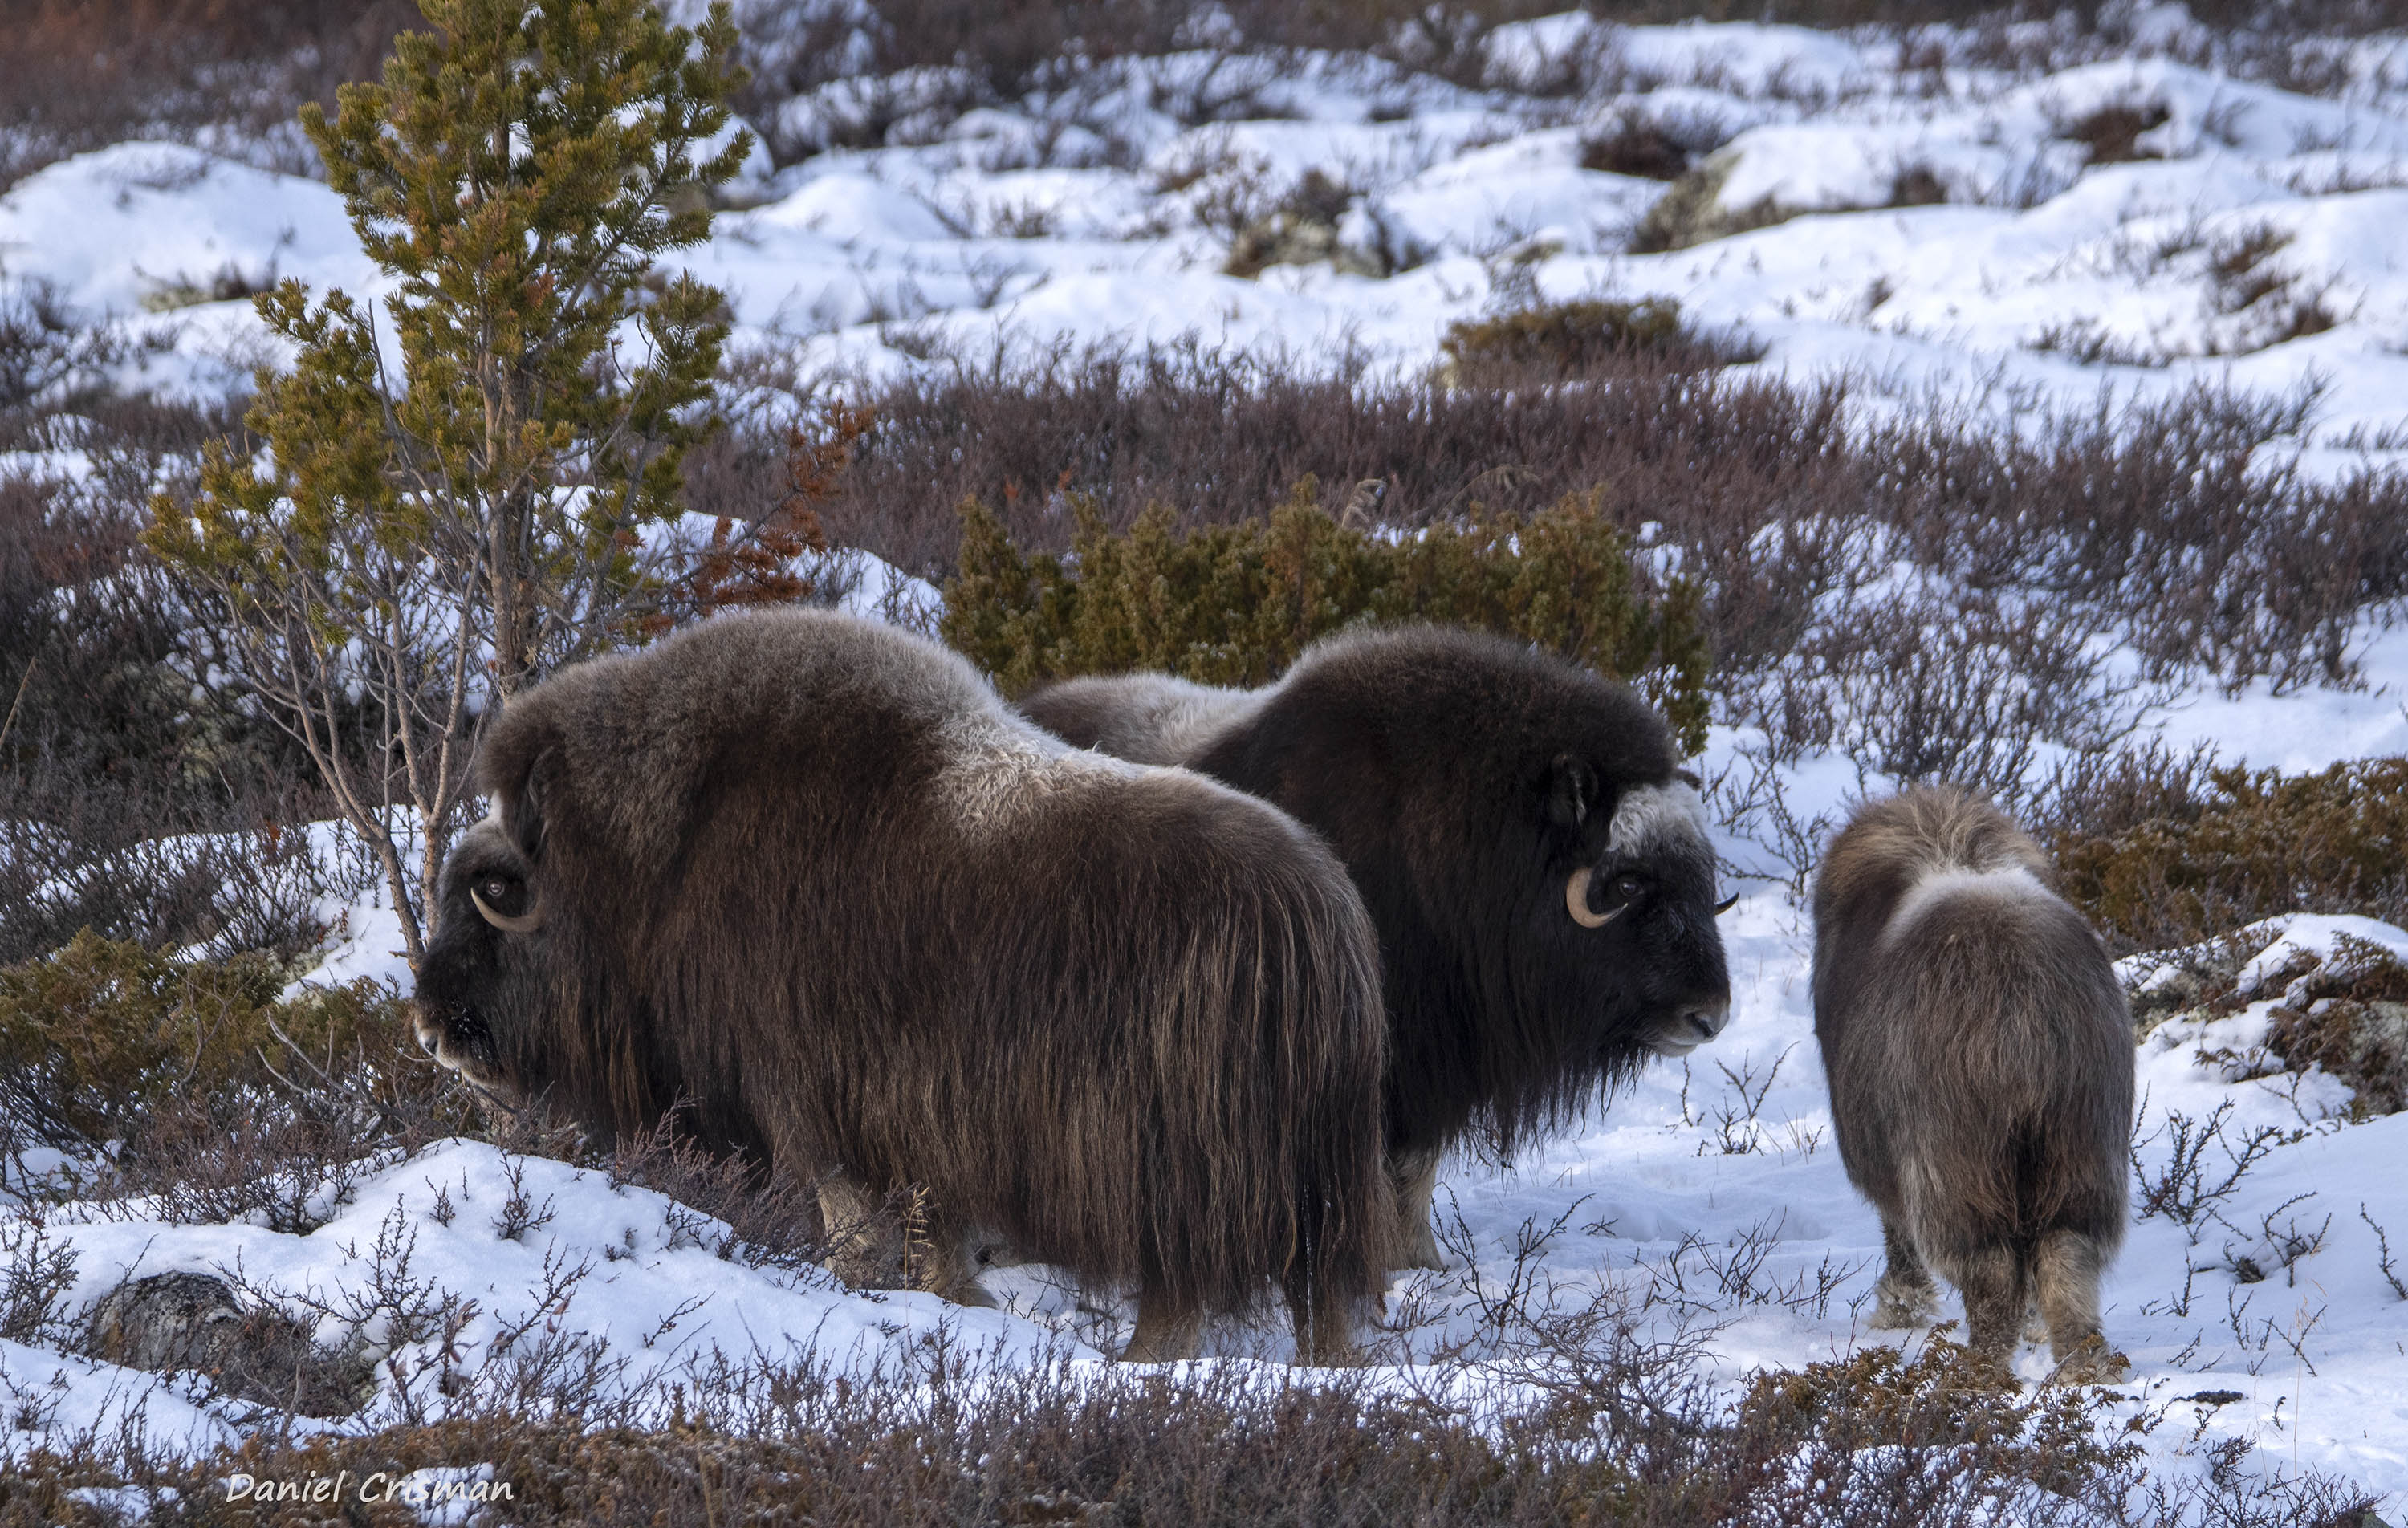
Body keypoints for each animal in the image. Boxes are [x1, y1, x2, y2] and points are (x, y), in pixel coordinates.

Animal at [414, 608, 1397, 1367]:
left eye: (491, 898)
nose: (432, 1030)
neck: (663, 859)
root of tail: (1322, 915)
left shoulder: (809, 1095)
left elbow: (852, 1228)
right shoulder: (923, 1120)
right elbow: (937, 1235)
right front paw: (961, 1305)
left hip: (1178, 1170)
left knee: (1183, 1284)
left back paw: (1140, 1362)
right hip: (1318, 1186)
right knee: (1314, 1294)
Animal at [1016, 625, 1734, 1270]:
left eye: (1703, 878)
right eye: (1630, 881)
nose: (1710, 1017)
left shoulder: (1437, 1061)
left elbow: (1415, 1165)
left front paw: (1424, 1262)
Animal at [1811, 789, 2138, 1386]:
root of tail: (2021, 1003)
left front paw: (1899, 1311)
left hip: (1955, 1161)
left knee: (1986, 1267)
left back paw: (1976, 1369)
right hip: (2083, 1143)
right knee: (2067, 1250)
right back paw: (2084, 1366)